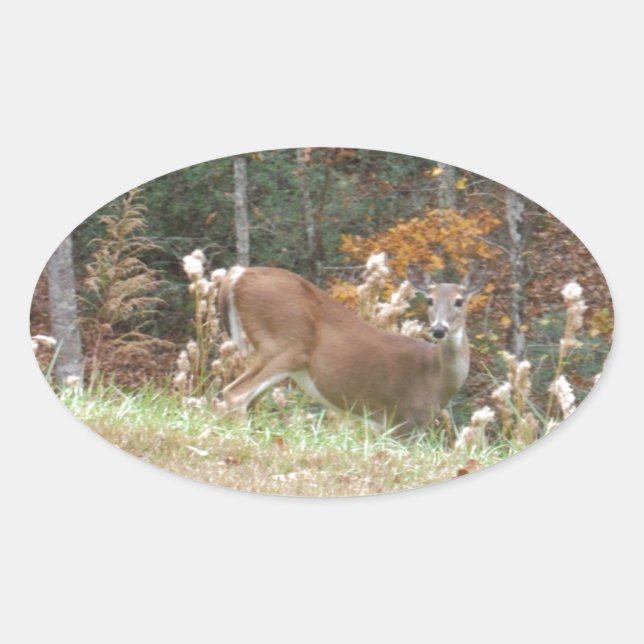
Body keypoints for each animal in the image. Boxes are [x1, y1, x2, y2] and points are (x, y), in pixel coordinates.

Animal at [218, 265, 483, 438]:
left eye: (459, 301)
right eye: (429, 300)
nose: (438, 329)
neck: (433, 375)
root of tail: (240, 274)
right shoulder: (402, 419)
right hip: (285, 344)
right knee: (236, 394)